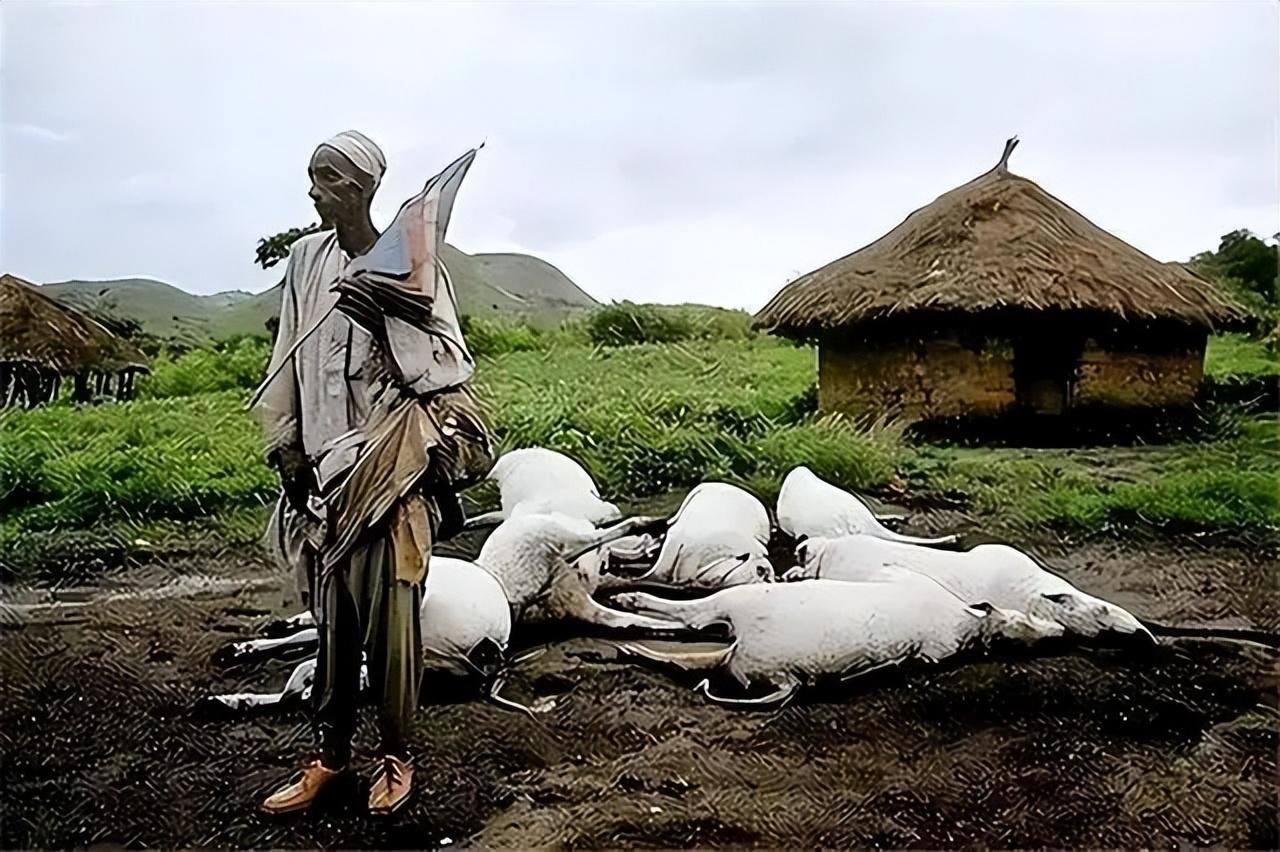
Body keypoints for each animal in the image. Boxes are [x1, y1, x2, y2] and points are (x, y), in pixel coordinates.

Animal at [609, 570, 1059, 701]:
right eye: (1024, 619)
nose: (1056, 633)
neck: (969, 626)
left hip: (741, 603)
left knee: (690, 620)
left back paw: (628, 610)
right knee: (688, 639)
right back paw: (628, 640)